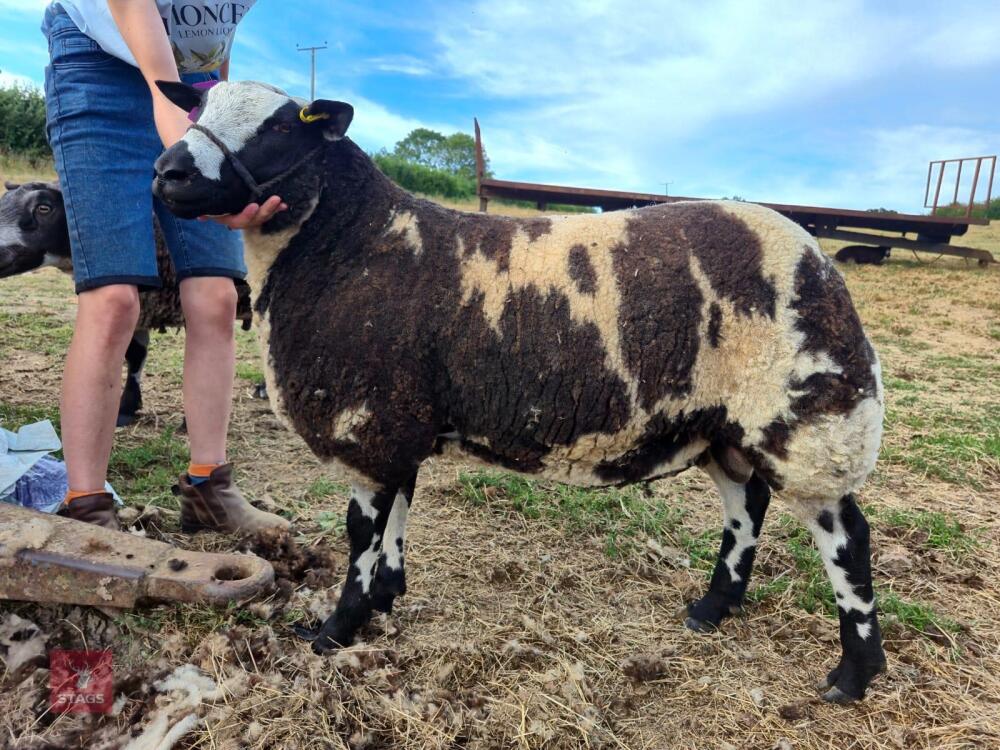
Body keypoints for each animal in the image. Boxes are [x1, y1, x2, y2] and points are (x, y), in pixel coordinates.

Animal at [152, 80, 888, 703]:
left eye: (281, 126)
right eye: (197, 109)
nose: (168, 173)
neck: (351, 242)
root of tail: (819, 260)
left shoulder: (368, 420)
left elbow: (362, 534)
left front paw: (337, 629)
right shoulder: (400, 421)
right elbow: (396, 518)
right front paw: (388, 595)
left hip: (808, 415)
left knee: (846, 537)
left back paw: (854, 673)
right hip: (722, 424)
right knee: (747, 505)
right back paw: (712, 609)